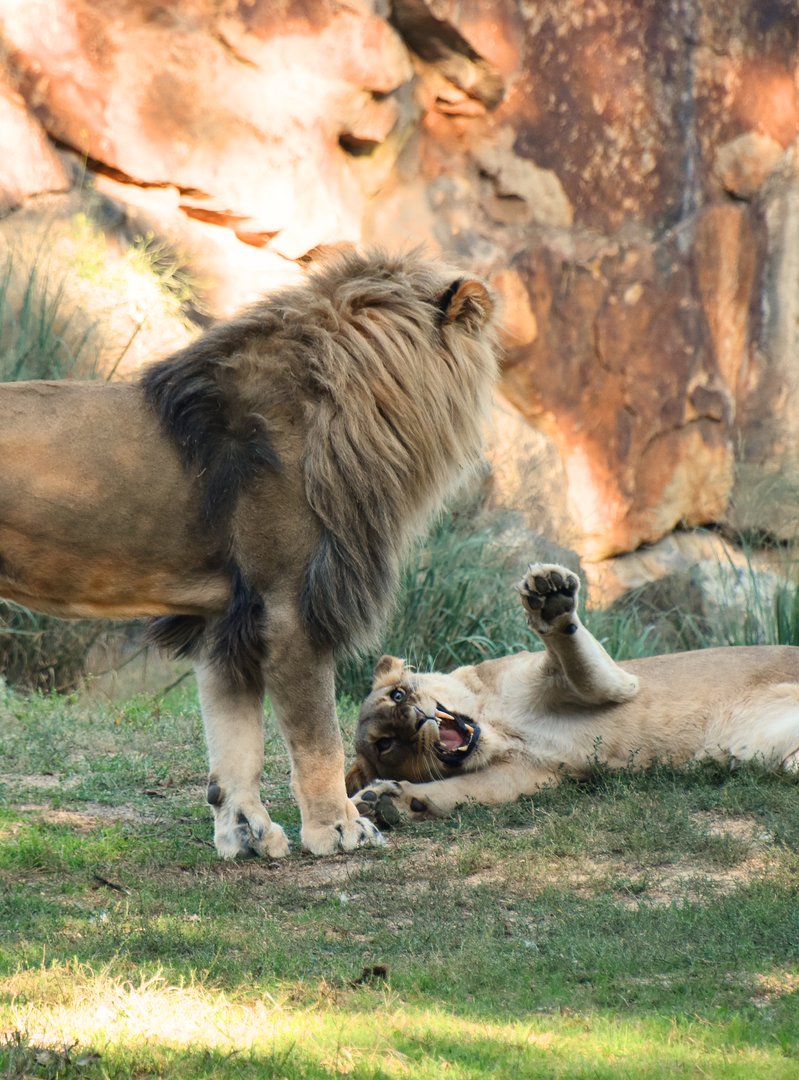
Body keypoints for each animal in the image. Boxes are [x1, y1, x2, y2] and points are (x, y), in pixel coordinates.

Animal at [0, 249, 499, 858]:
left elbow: (235, 745)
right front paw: (339, 829)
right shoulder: (289, 609)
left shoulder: (226, 619)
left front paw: (247, 833)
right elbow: (318, 737)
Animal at [346, 563, 799, 821]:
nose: (415, 720)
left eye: (398, 696)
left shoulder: (612, 682)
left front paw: (549, 595)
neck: (498, 729)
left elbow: (575, 651)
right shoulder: (524, 775)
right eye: (386, 744)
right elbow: (453, 792)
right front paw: (384, 801)